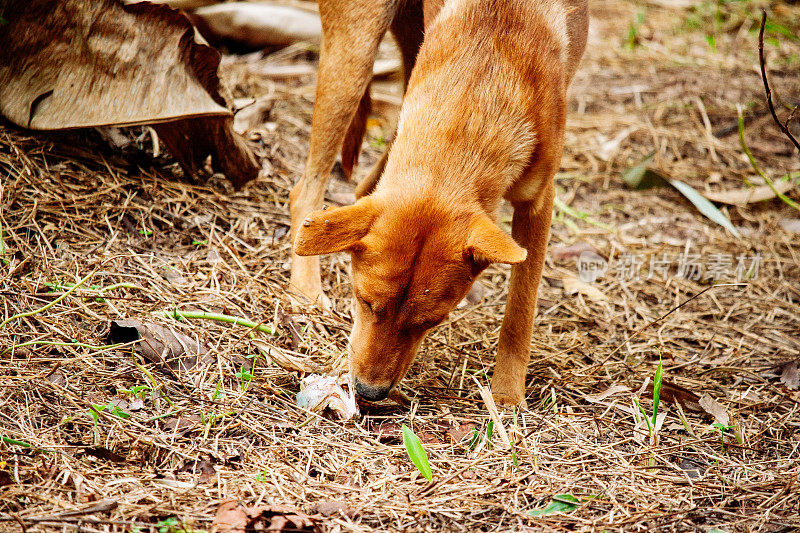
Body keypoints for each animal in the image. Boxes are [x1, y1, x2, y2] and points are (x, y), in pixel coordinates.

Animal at [292, 0, 588, 404]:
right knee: (305, 191)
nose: (369, 392)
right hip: (355, 52)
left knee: (364, 184)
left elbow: (520, 312)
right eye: (364, 301)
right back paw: (306, 288)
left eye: (431, 321)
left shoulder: (538, 202)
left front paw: (506, 396)